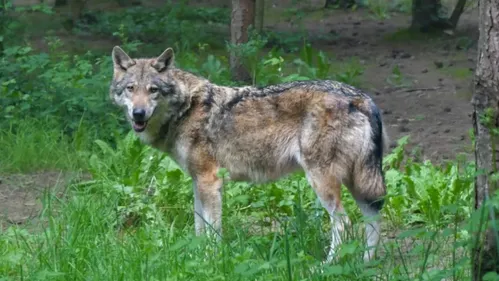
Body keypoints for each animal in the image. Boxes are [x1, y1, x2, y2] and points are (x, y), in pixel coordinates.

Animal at [110, 45, 390, 260]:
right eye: (131, 89)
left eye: (153, 90)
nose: (138, 114)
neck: (186, 108)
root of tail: (361, 98)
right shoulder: (197, 182)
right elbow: (199, 227)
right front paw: (196, 257)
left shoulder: (210, 181)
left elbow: (212, 231)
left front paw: (211, 261)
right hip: (359, 183)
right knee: (373, 219)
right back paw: (366, 263)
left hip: (323, 181)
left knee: (344, 223)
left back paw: (326, 266)